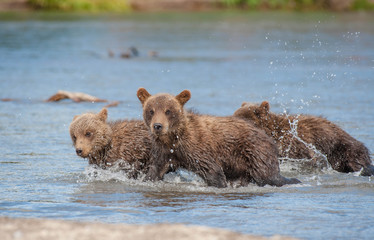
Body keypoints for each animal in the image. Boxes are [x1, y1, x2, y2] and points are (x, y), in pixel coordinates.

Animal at [137, 87, 300, 188]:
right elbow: (155, 171)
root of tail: (266, 136)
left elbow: (212, 170)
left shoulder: (197, 148)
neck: (174, 139)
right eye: (151, 110)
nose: (158, 126)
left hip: (255, 152)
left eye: (168, 111)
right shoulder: (165, 152)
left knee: (268, 176)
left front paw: (220, 184)